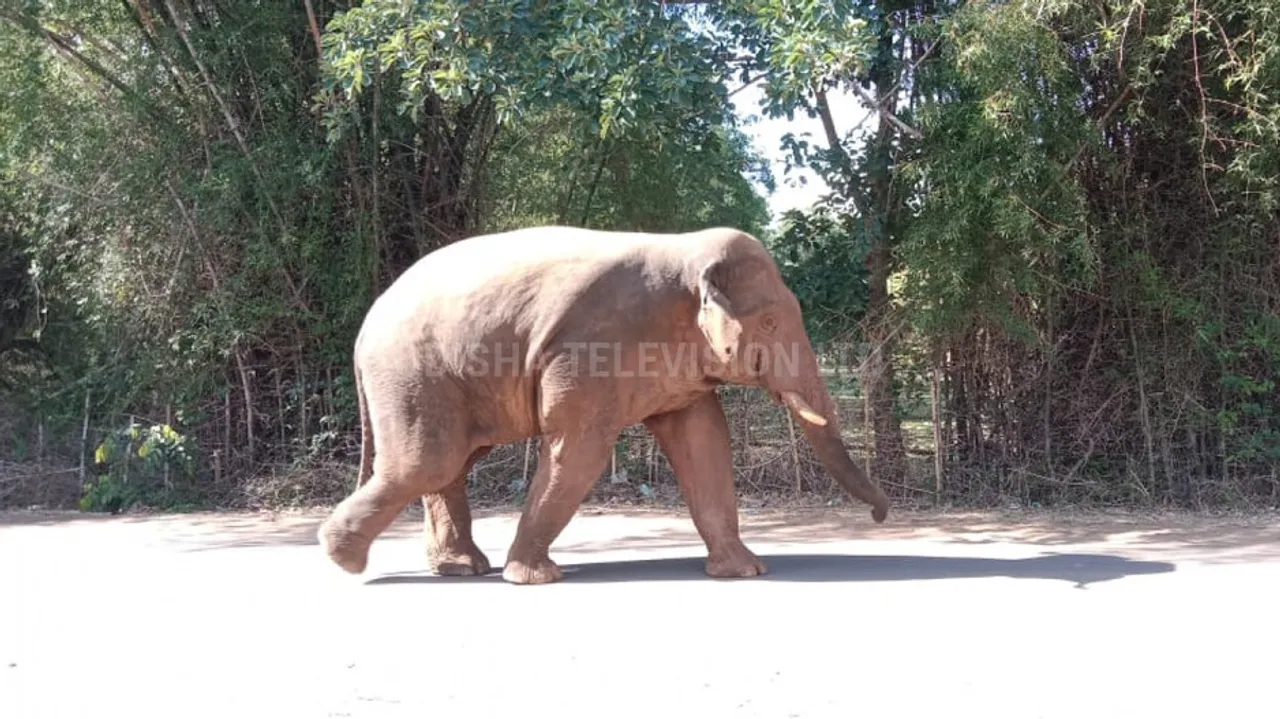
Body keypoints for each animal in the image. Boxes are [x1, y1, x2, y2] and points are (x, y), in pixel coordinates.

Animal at [317, 225, 890, 584]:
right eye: (770, 322)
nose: (880, 518)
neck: (682, 251)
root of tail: (366, 323)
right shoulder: (590, 350)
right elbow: (581, 450)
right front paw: (535, 579)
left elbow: (704, 443)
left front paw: (746, 572)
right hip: (413, 374)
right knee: (429, 461)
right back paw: (343, 558)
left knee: (450, 464)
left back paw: (458, 568)